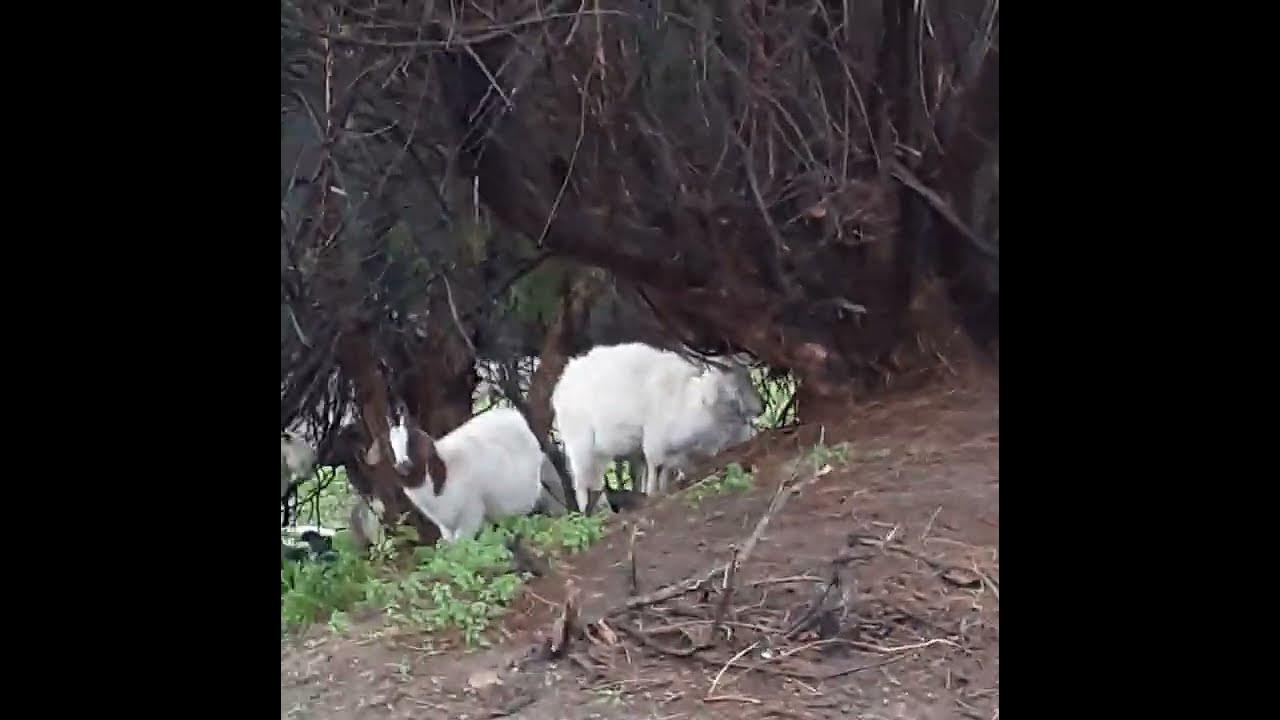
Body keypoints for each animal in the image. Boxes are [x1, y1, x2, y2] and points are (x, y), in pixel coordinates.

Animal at [394, 407, 547, 542]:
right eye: (392, 444)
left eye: (411, 441)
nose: (402, 465)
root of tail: (517, 417)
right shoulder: (445, 526)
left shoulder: (471, 513)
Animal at [551, 343, 763, 513]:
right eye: (734, 377)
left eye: (748, 376)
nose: (759, 409)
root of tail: (561, 384)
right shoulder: (654, 439)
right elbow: (654, 468)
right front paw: (652, 494)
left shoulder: (674, 449)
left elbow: (665, 471)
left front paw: (662, 491)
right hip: (579, 441)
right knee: (580, 480)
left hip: (600, 448)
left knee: (595, 478)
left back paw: (605, 510)